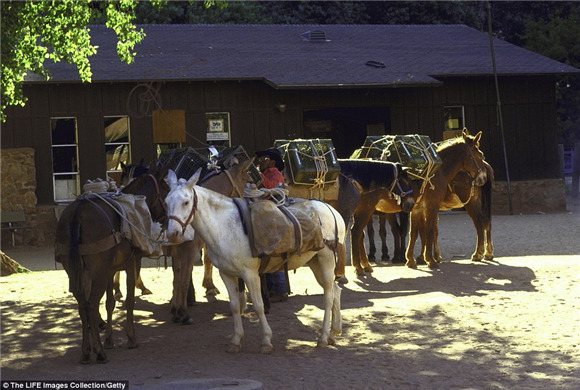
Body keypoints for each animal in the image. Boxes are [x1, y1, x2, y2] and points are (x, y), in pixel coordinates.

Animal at [54, 165, 169, 362]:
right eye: (166, 188)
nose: (167, 216)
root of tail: (78, 211)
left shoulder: (109, 270)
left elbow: (110, 302)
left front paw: (109, 339)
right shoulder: (132, 264)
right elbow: (129, 301)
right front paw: (131, 338)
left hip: (75, 271)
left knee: (82, 305)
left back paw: (87, 351)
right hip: (96, 273)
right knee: (91, 304)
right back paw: (99, 352)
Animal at [406, 129, 488, 270]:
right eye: (480, 155)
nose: (483, 178)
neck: (436, 172)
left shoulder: (424, 208)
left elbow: (422, 232)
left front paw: (423, 259)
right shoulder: (426, 208)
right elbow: (423, 232)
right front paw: (425, 259)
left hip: (472, 203)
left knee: (480, 223)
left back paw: (481, 253)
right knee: (481, 222)